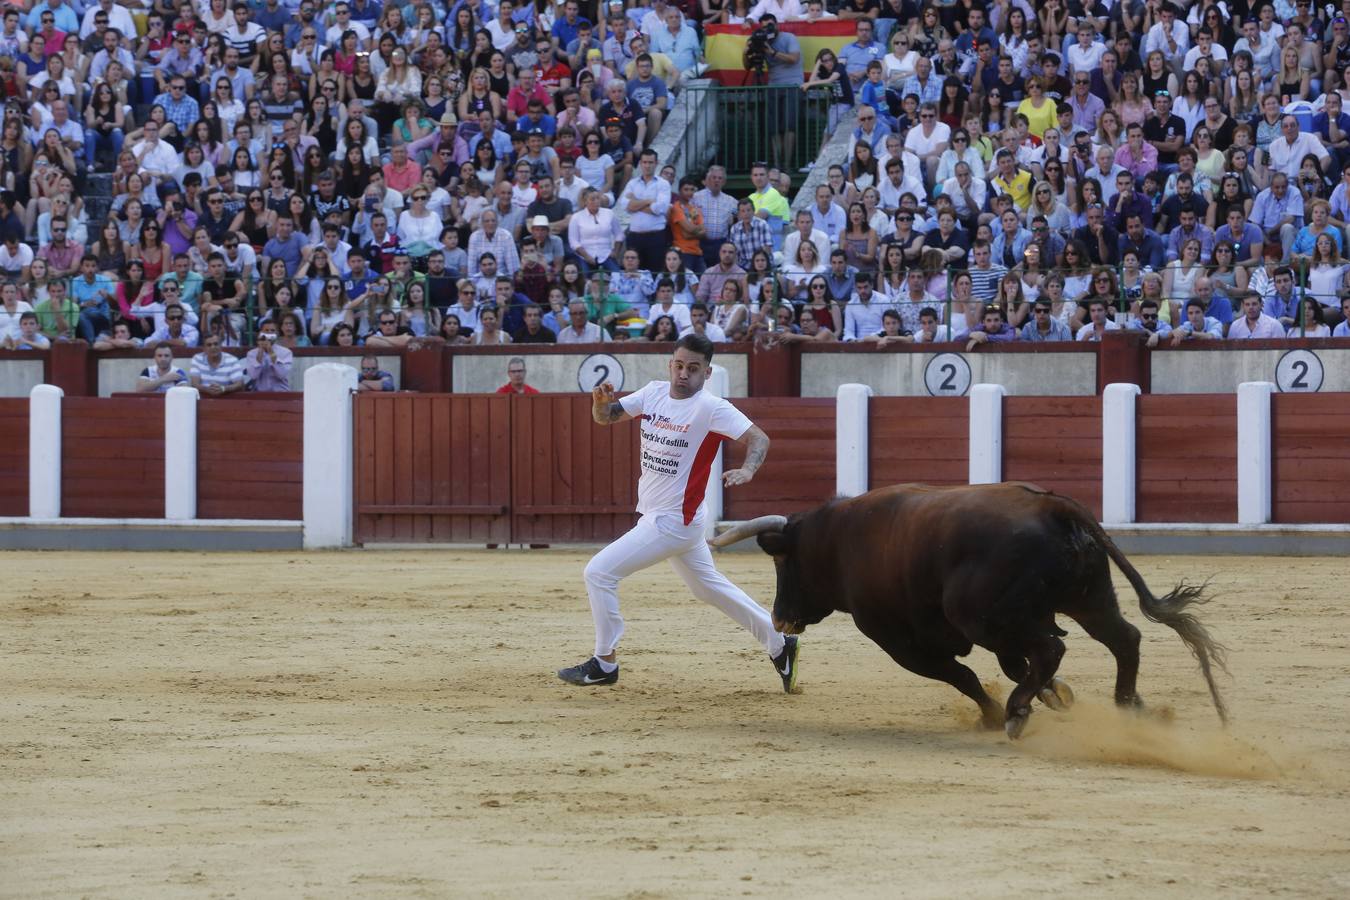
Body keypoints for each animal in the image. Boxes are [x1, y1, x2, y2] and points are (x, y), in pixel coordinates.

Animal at [712, 483, 1231, 734]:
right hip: (1089, 598)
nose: (780, 617)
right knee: (1124, 639)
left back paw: (1017, 713)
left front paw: (995, 713)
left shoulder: (898, 641)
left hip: (981, 616)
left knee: (1051, 649)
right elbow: (1014, 666)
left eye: (781, 560)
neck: (839, 540)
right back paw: (1130, 707)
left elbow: (963, 677)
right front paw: (1055, 697)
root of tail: (1053, 508)